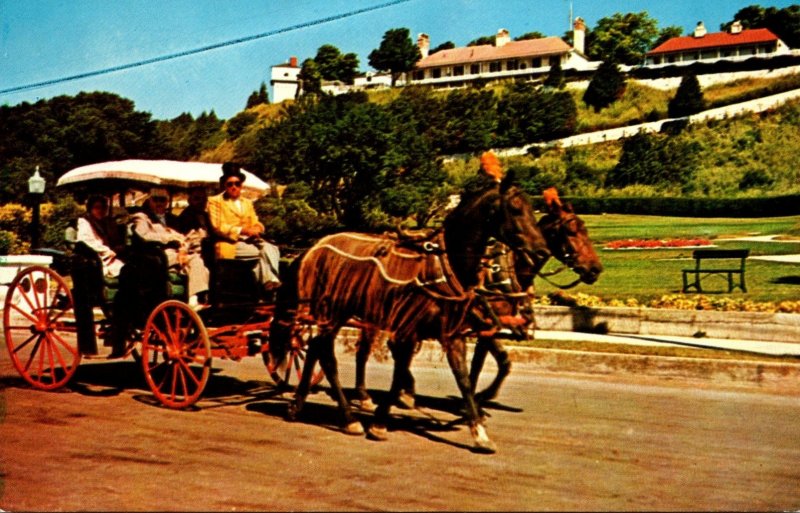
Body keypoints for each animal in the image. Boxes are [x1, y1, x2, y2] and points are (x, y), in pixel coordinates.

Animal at [276, 173, 552, 452]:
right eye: (515, 209)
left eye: (532, 208)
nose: (543, 250)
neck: (443, 265)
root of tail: (312, 249)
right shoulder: (409, 330)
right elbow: (400, 374)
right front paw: (381, 421)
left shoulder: (452, 333)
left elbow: (462, 378)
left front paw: (479, 431)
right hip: (331, 311)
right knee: (327, 356)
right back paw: (349, 417)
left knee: (314, 349)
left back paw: (298, 404)